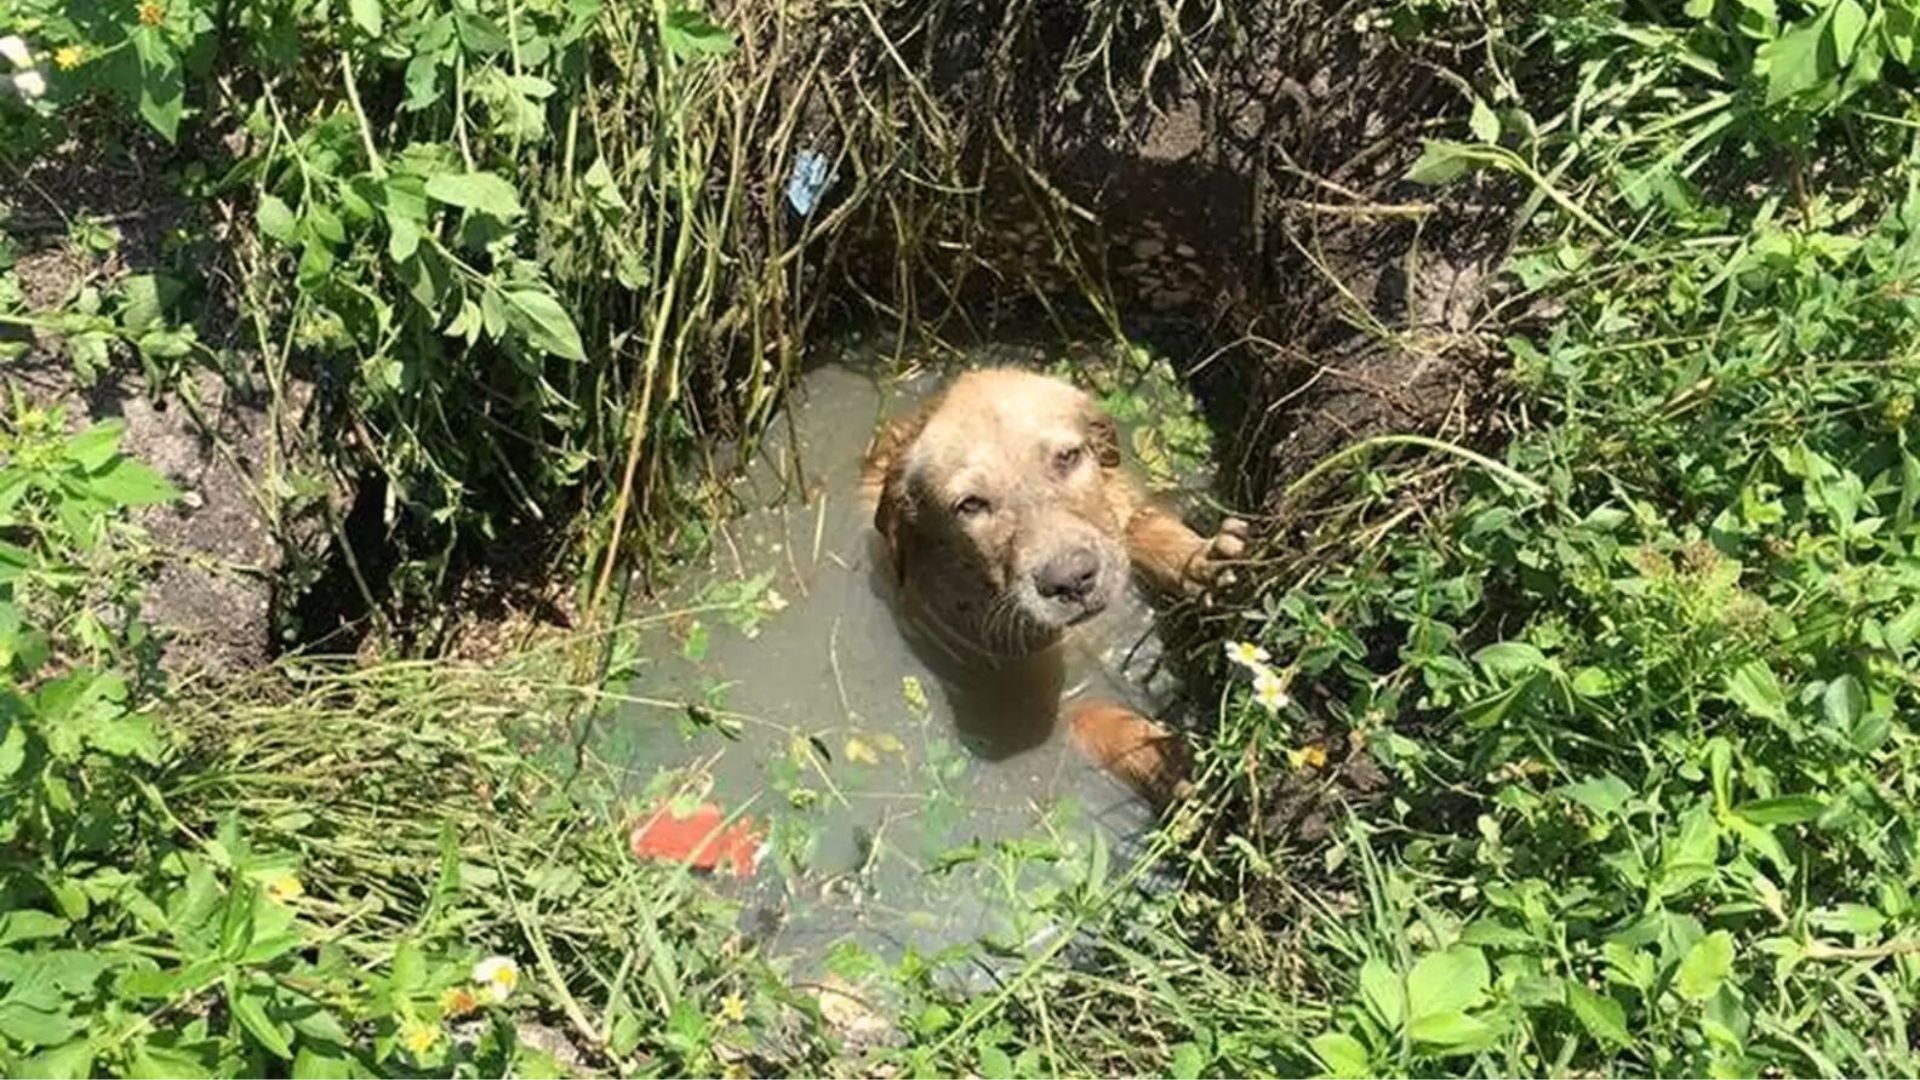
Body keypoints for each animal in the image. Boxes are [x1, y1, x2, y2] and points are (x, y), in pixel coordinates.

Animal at [860, 367, 1244, 799]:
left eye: (1067, 457)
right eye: (971, 504)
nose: (1073, 581)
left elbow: (1143, 527)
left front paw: (1202, 561)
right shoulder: (1028, 699)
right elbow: (1094, 714)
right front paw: (1171, 759)